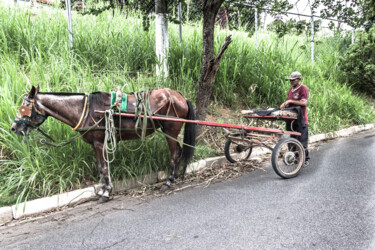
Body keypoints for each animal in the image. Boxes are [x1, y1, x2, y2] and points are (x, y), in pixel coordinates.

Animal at [11, 85, 197, 202]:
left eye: (24, 106)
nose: (14, 128)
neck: (86, 110)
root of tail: (180, 96)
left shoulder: (99, 143)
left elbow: (104, 167)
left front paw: (106, 193)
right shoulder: (96, 144)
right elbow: (101, 167)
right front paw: (102, 191)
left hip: (171, 131)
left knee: (175, 153)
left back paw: (168, 182)